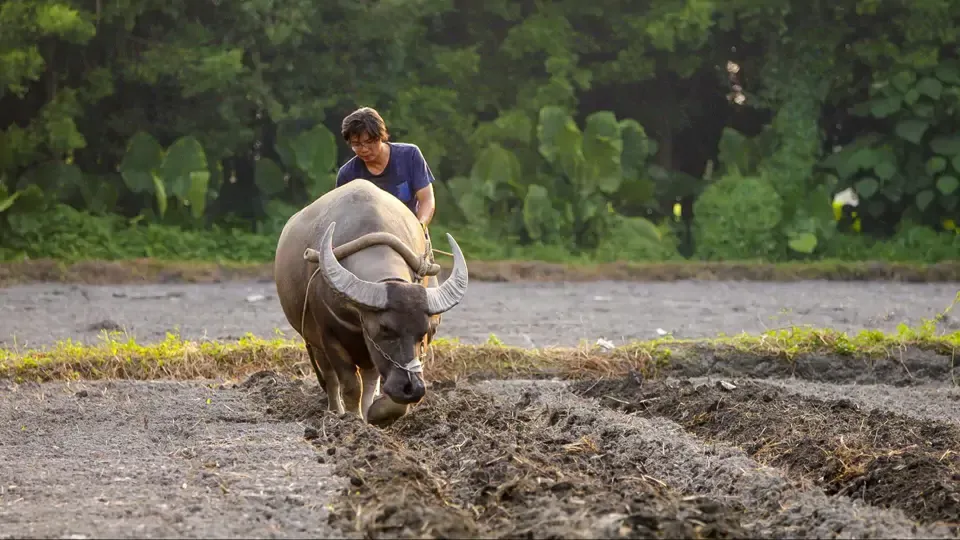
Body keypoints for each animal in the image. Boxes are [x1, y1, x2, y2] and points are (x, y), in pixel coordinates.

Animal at [273, 179, 469, 426]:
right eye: (385, 328)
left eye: (423, 331)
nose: (412, 388)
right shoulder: (329, 336)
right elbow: (349, 384)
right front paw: (351, 418)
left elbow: (376, 387)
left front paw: (375, 414)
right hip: (313, 339)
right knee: (330, 377)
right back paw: (333, 411)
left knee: (369, 380)